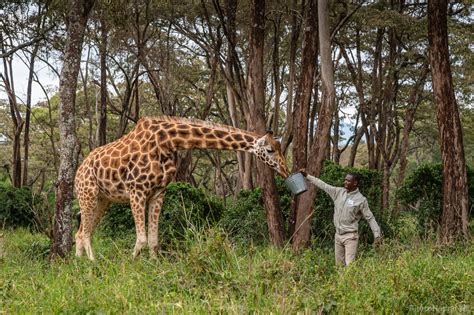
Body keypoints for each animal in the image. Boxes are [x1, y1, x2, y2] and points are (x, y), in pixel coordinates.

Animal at [74, 116, 288, 262]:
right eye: (270, 150)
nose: (286, 170)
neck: (167, 142)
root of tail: (78, 171)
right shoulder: (137, 190)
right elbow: (141, 239)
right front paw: (130, 265)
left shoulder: (158, 193)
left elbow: (153, 240)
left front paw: (153, 266)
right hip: (88, 194)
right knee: (84, 232)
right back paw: (92, 263)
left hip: (104, 200)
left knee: (81, 231)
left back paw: (78, 264)